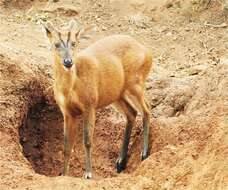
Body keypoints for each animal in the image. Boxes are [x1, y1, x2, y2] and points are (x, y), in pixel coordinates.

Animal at [40, 20, 152, 179]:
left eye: (74, 43)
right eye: (56, 44)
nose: (68, 62)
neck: (73, 87)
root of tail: (147, 52)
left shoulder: (89, 105)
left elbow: (87, 140)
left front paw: (88, 174)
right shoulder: (67, 112)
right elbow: (67, 145)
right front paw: (64, 174)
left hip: (135, 83)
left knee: (147, 109)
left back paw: (144, 154)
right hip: (117, 94)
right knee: (132, 112)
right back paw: (120, 162)